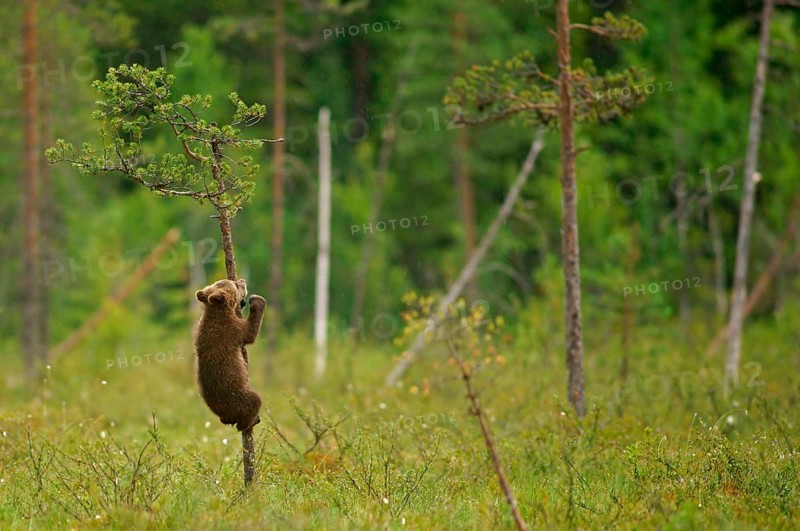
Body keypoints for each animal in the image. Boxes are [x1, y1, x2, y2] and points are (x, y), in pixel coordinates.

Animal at [194, 278, 266, 432]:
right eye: (236, 285)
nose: (242, 280)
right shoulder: (232, 329)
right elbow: (250, 332)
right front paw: (257, 300)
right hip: (237, 398)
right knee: (255, 400)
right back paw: (251, 421)